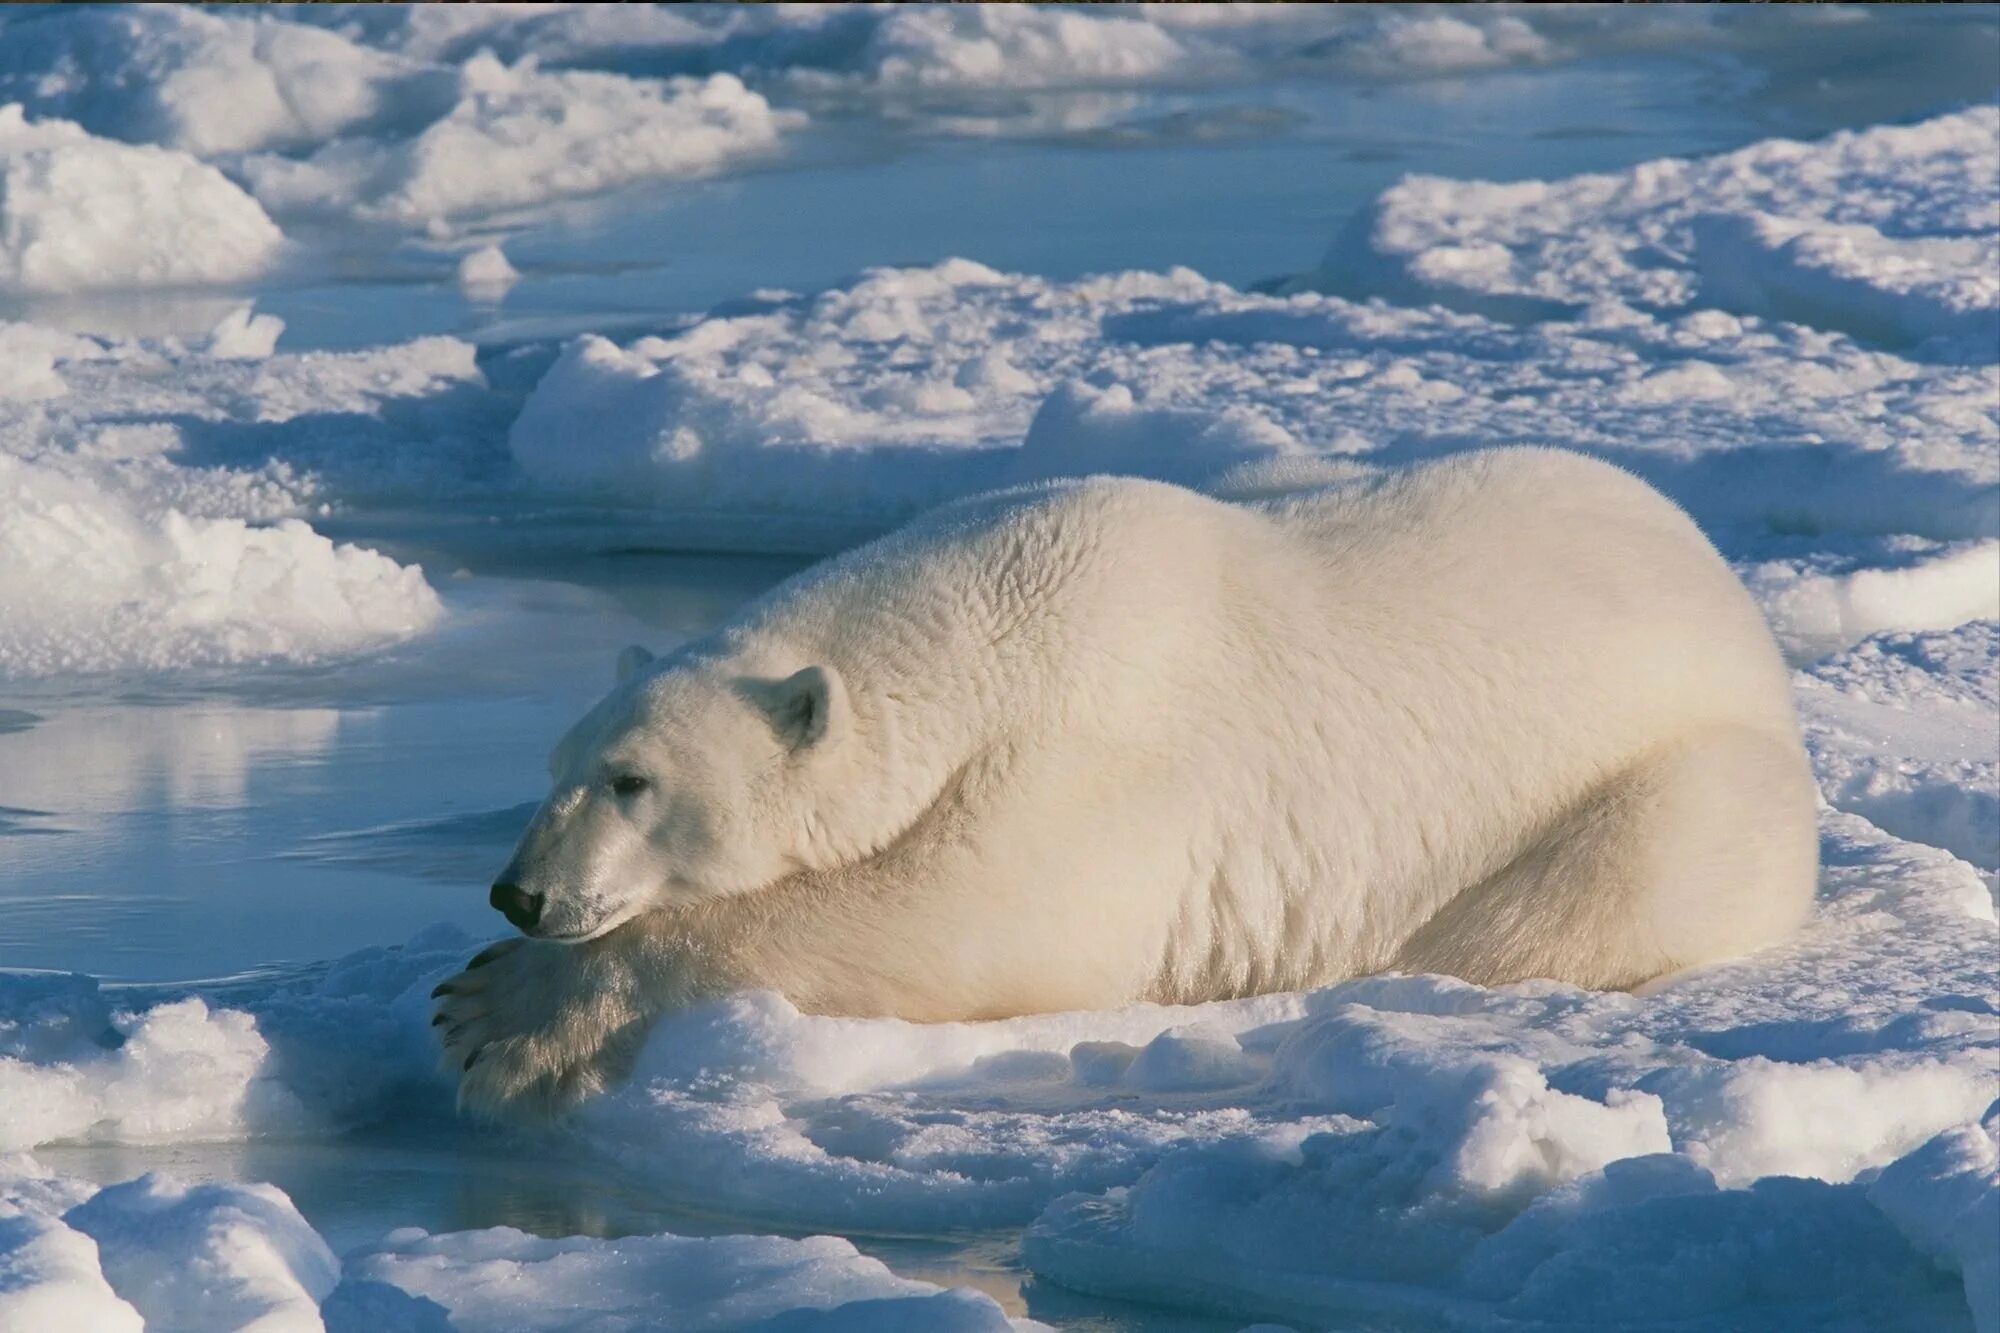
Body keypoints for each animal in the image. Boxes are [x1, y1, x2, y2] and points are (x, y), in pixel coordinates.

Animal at [434, 446, 1816, 1112]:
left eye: (631, 782)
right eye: (556, 766)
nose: (518, 896)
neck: (988, 625)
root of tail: (1730, 597)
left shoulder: (1107, 760)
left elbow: (961, 920)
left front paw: (494, 1014)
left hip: (1675, 783)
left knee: (1590, 894)